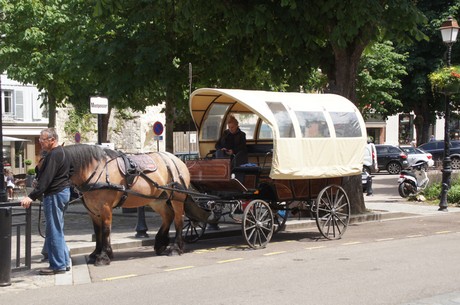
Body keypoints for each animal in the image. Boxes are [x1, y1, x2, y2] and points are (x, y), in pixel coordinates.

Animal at [62, 144, 198, 264]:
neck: (97, 171)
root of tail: (176, 159)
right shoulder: (92, 210)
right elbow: (97, 230)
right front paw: (96, 253)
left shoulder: (105, 207)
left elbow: (105, 230)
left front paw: (104, 256)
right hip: (156, 199)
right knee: (168, 216)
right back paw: (160, 243)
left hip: (177, 198)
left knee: (179, 219)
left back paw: (175, 248)